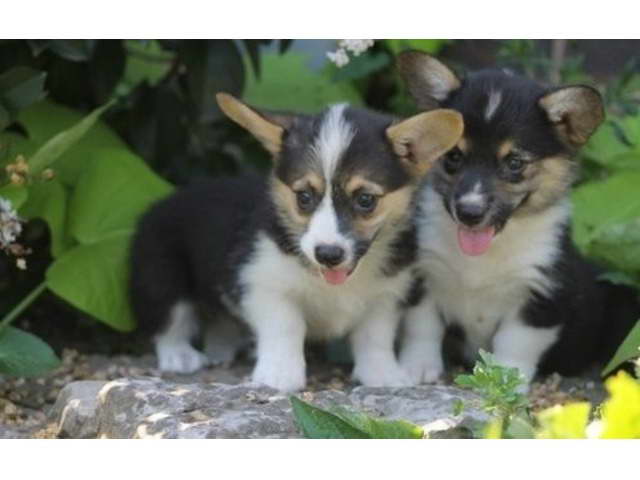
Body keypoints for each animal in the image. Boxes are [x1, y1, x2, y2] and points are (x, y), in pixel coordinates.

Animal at [130, 92, 462, 392]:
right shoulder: (263, 283)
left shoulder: (388, 293)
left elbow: (374, 335)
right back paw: (180, 356)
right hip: (160, 275)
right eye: (304, 196)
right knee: (170, 321)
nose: (328, 254)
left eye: (366, 200)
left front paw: (382, 375)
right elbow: (285, 327)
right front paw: (279, 375)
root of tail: (162, 202)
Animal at [398, 50, 636, 386]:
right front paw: (417, 367)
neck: (484, 256)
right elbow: (422, 326)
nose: (469, 213)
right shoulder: (424, 275)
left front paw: (504, 380)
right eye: (454, 156)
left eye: (514, 163)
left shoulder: (540, 295)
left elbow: (515, 344)